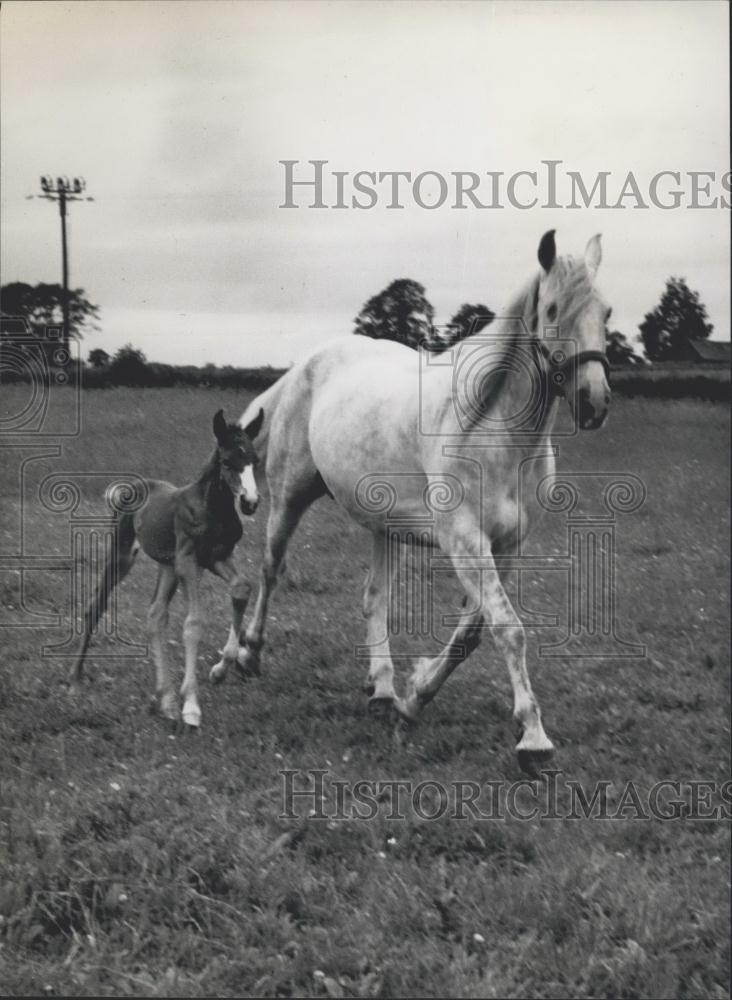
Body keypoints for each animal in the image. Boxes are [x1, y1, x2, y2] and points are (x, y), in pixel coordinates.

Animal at [213, 229, 612, 772]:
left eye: (607, 312)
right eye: (552, 309)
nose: (595, 402)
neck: (494, 430)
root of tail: (306, 367)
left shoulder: (507, 546)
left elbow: (471, 633)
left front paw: (413, 698)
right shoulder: (464, 541)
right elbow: (507, 628)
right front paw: (533, 737)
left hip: (384, 526)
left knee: (373, 597)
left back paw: (382, 689)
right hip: (290, 498)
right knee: (271, 571)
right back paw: (247, 655)